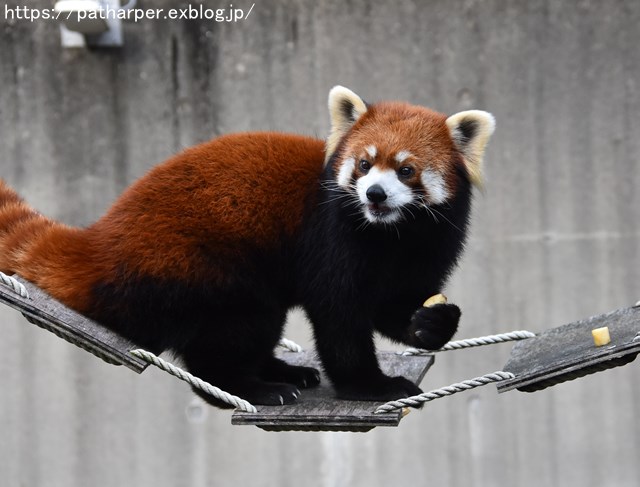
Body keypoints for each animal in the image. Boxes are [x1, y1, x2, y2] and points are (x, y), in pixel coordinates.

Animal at [0, 86, 496, 406]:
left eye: (406, 170)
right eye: (363, 164)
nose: (374, 194)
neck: (391, 233)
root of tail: (99, 243)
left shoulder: (427, 246)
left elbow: (394, 307)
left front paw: (432, 323)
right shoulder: (330, 239)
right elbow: (339, 315)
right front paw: (369, 386)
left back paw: (282, 370)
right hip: (191, 266)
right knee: (236, 326)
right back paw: (252, 387)